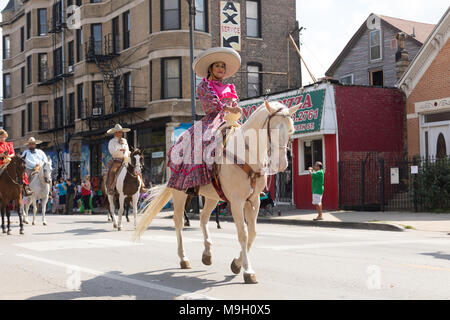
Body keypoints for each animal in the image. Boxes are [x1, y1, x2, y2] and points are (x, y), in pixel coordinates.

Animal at [135, 101, 300, 284]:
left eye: (291, 130)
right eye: (275, 130)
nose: (282, 164)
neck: (246, 154)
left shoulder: (254, 201)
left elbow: (252, 233)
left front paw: (236, 264)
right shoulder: (236, 202)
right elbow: (243, 234)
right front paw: (247, 271)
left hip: (212, 197)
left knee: (203, 218)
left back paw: (207, 254)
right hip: (180, 194)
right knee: (179, 222)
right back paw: (184, 258)